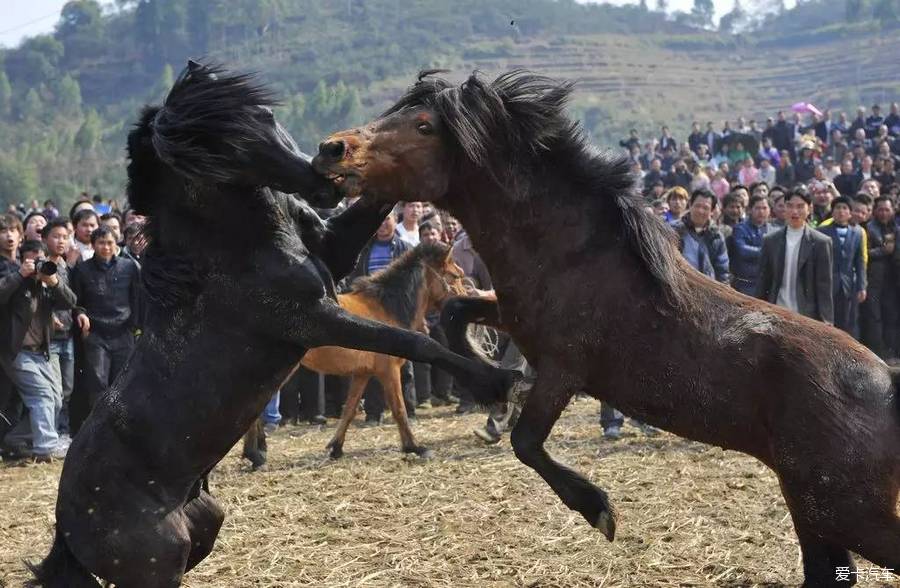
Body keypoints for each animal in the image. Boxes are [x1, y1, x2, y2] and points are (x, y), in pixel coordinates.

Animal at [246, 241, 468, 466]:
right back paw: (256, 455)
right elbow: (399, 409)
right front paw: (415, 447)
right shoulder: (389, 371)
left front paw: (335, 447)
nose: (466, 303)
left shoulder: (362, 373)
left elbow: (350, 410)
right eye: (456, 275)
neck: (387, 307)